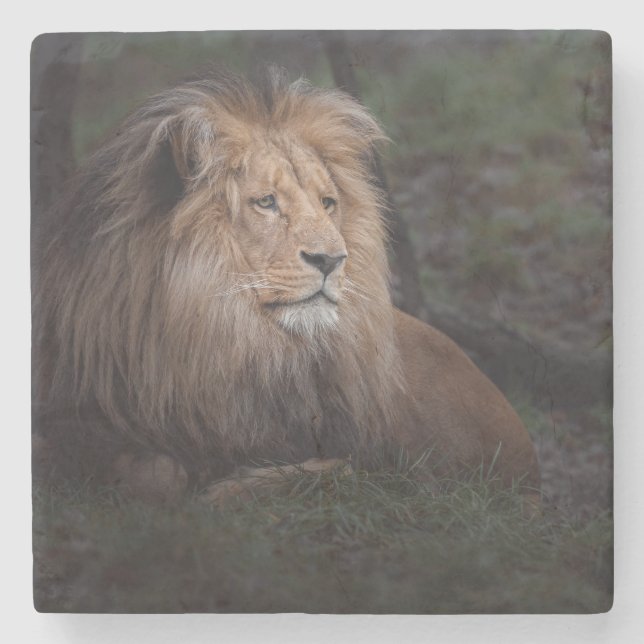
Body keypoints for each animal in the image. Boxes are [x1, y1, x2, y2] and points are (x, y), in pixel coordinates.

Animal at [32, 69, 539, 503]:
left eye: (328, 202)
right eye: (267, 202)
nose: (331, 260)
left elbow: (340, 466)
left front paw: (228, 489)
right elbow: (153, 472)